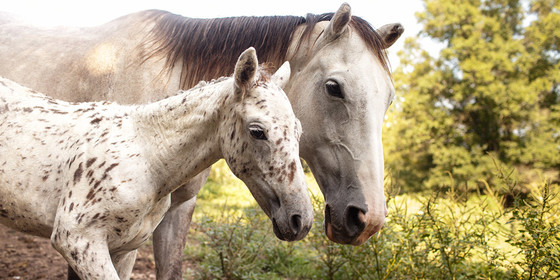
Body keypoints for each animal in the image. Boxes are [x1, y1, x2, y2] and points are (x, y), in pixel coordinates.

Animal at [0, 49, 312, 278]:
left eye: (298, 130)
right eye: (257, 131)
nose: (300, 220)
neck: (148, 158)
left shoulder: (123, 250)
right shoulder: (78, 241)